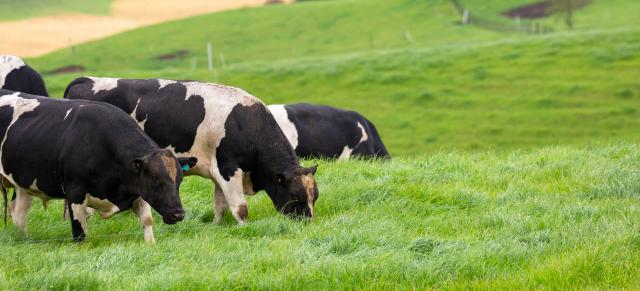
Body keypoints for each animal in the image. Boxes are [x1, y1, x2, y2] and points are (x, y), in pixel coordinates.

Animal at [0, 89, 198, 244]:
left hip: (22, 182)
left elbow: (147, 221)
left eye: (180, 180)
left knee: (18, 212)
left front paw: (150, 243)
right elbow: (80, 233)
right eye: (156, 179)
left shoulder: (138, 189)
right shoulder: (74, 192)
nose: (178, 214)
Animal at [65, 76, 320, 225]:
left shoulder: (217, 171)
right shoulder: (229, 168)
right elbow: (240, 208)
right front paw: (245, 229)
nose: (308, 223)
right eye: (296, 196)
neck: (244, 121)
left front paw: (218, 227)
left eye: (314, 196)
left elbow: (220, 206)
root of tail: (86, 79)